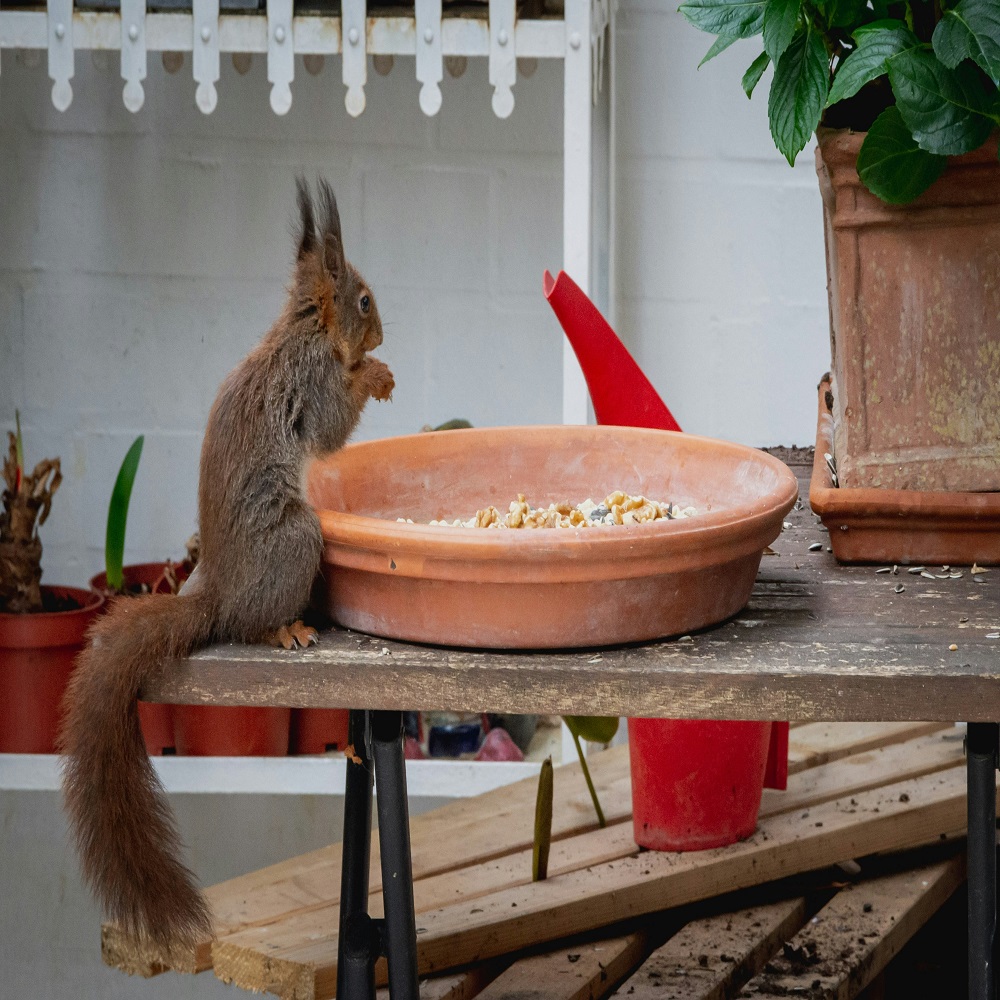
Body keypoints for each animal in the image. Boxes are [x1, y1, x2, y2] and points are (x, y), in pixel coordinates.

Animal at [57, 178, 394, 960]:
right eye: (364, 301)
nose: (384, 335)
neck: (303, 330)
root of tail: (211, 596)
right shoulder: (314, 380)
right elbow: (332, 425)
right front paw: (374, 375)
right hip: (295, 542)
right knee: (248, 623)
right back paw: (286, 630)